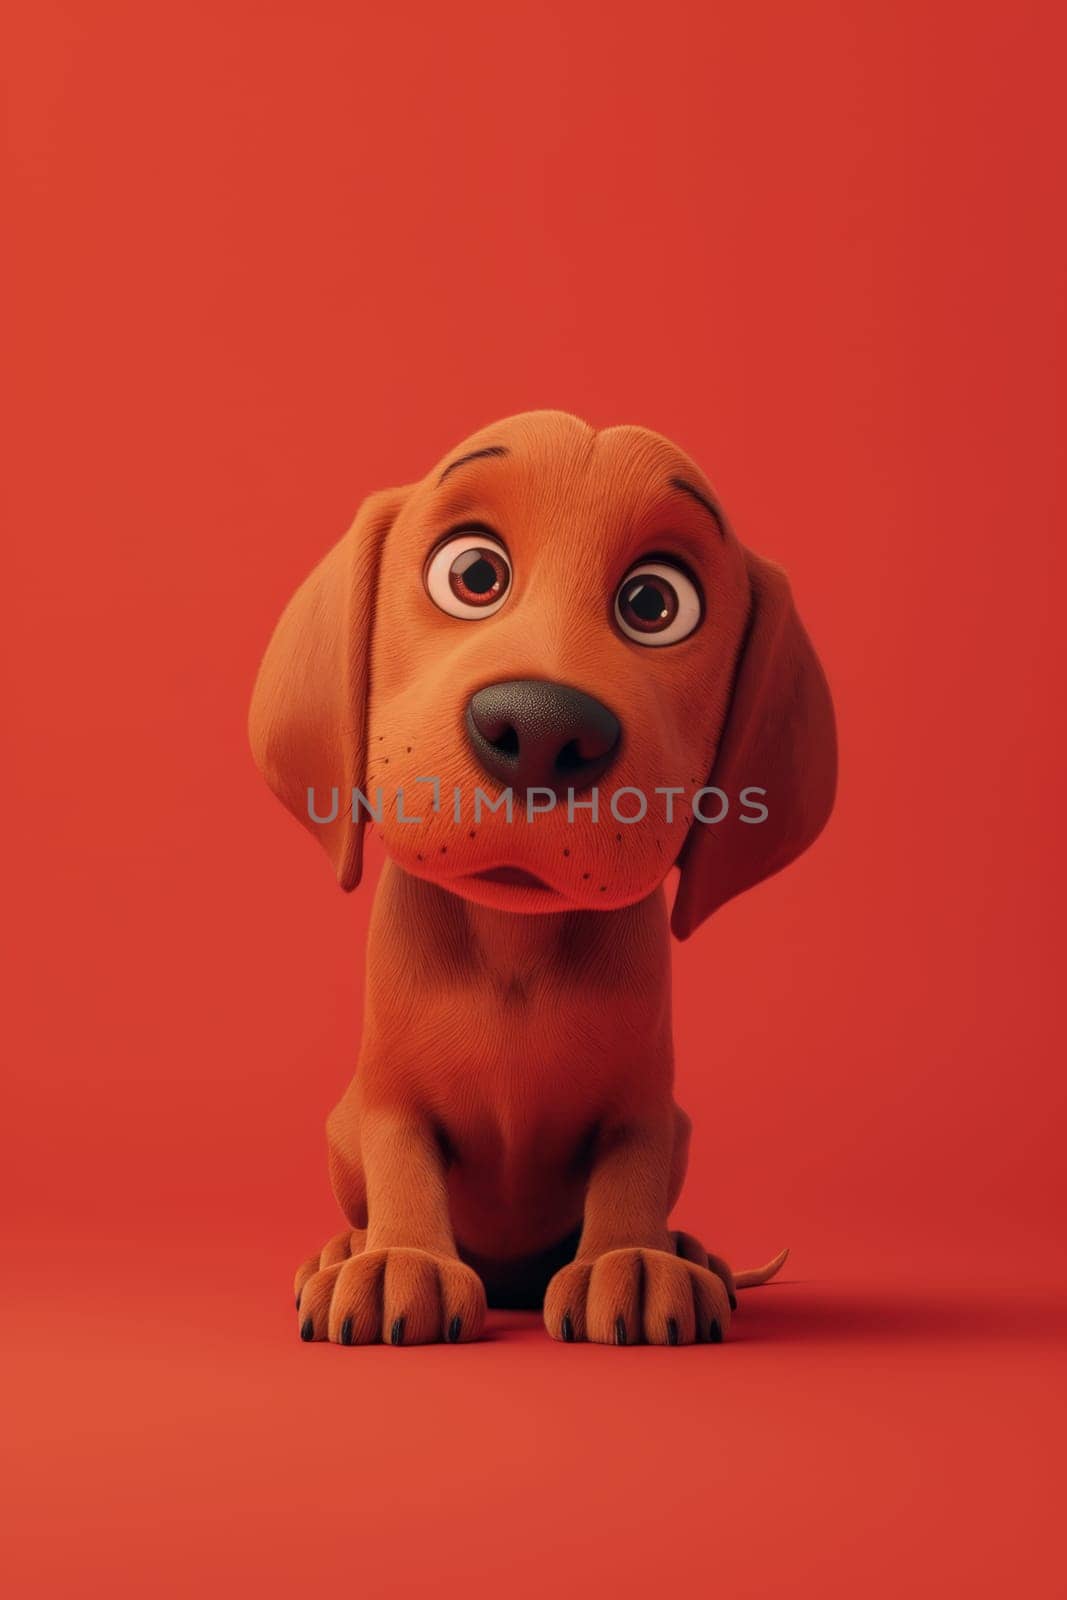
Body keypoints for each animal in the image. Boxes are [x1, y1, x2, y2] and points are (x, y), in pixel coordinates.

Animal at [247, 412, 831, 1350]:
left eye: (655, 604)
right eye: (472, 574)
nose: (542, 728)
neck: (512, 945)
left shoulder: (645, 1108)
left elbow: (628, 1171)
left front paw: (631, 1259)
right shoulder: (388, 1102)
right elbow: (402, 1159)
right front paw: (396, 1258)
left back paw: (685, 1250)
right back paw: (345, 1248)